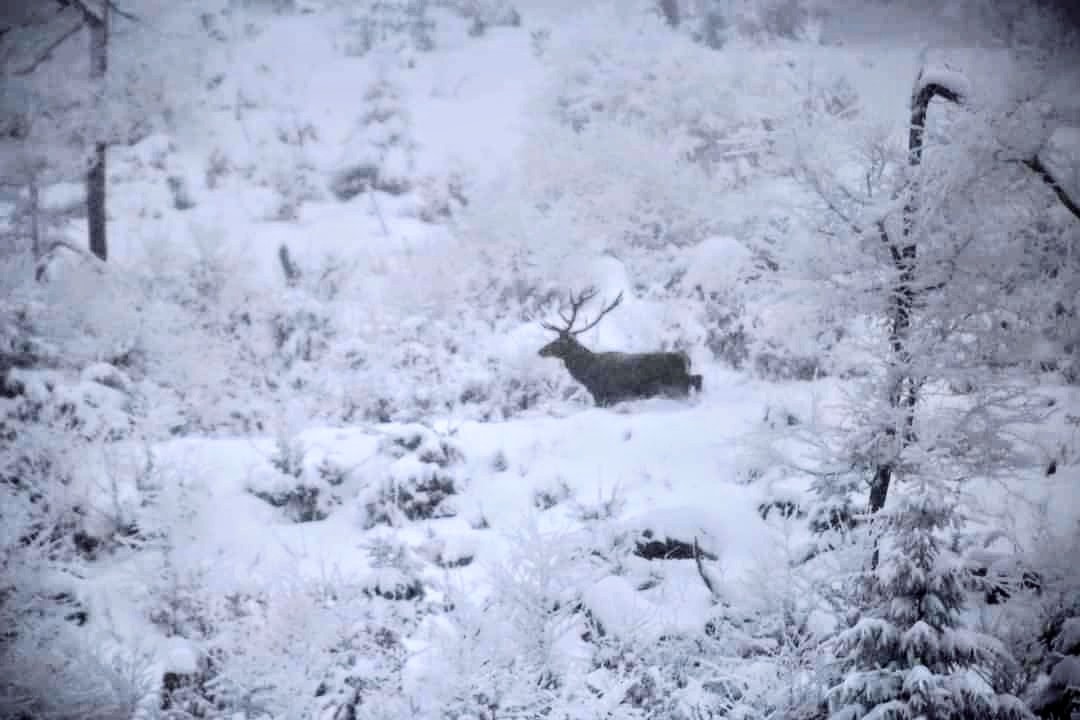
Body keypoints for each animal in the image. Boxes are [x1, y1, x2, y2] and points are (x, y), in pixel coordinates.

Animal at [537, 289, 704, 408]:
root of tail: (685, 357)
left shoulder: (604, 396)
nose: (541, 351)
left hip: (676, 384)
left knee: (696, 380)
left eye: (559, 341)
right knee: (698, 378)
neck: (587, 374)